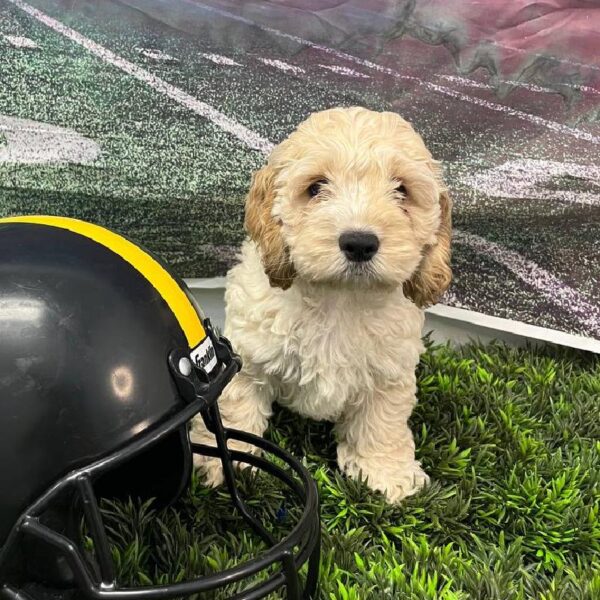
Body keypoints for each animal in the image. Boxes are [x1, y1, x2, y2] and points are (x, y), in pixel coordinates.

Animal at [192, 108, 450, 502]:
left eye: (402, 190)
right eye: (315, 188)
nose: (359, 243)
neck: (338, 296)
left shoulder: (389, 374)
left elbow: (382, 423)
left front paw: (386, 472)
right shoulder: (249, 358)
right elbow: (235, 411)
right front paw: (225, 463)